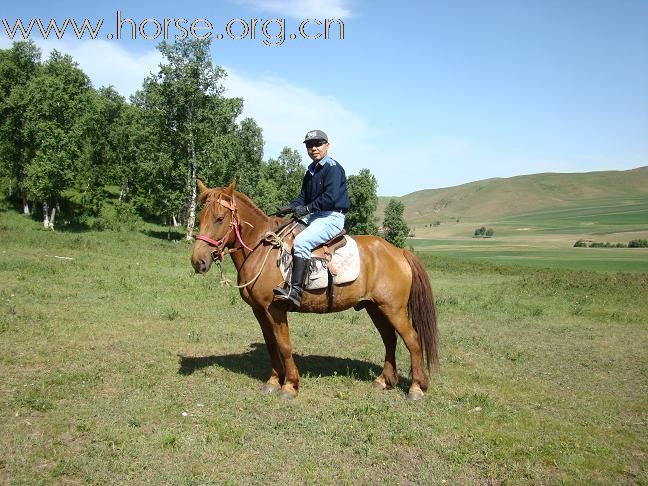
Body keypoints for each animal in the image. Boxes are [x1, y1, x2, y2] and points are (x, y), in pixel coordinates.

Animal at [189, 180, 440, 400]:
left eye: (219, 218)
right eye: (199, 218)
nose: (198, 261)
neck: (263, 249)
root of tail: (399, 252)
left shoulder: (276, 310)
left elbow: (284, 346)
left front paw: (290, 385)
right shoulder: (260, 311)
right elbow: (271, 345)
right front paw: (273, 381)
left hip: (394, 309)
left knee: (412, 341)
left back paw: (416, 387)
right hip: (375, 308)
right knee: (389, 339)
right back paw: (384, 380)